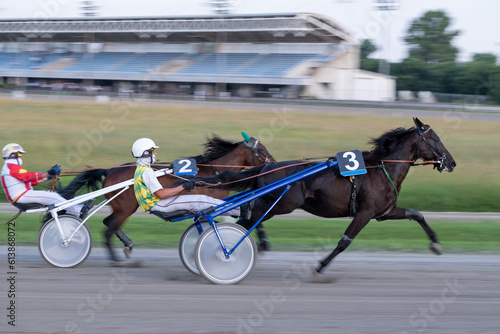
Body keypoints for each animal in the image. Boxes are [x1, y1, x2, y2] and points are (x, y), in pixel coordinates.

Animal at [60, 134, 276, 262]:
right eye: (262, 150)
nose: (273, 163)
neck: (212, 172)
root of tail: (110, 170)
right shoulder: (211, 202)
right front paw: (261, 240)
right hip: (126, 208)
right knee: (108, 229)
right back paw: (115, 258)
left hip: (121, 207)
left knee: (108, 223)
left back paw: (127, 244)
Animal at [200, 118, 458, 276]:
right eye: (435, 139)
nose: (452, 162)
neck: (381, 169)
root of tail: (266, 167)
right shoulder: (364, 212)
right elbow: (345, 241)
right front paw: (320, 266)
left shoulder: (384, 212)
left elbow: (417, 214)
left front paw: (435, 244)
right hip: (278, 204)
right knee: (245, 223)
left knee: (246, 219)